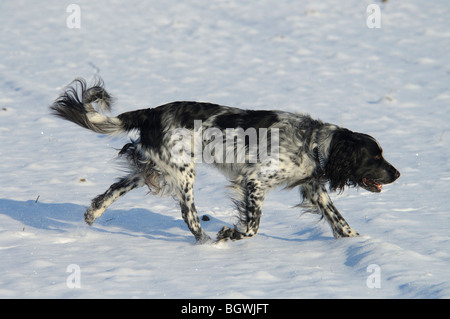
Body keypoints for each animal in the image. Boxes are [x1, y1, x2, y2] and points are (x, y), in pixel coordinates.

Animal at [50, 79, 400, 244]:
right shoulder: (255, 181)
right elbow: (252, 227)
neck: (313, 143)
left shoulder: (314, 188)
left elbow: (340, 222)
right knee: (189, 215)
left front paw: (360, 245)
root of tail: (150, 112)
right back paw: (207, 244)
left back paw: (92, 215)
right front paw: (228, 235)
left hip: (156, 168)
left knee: (112, 190)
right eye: (376, 156)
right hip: (183, 172)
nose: (397, 173)